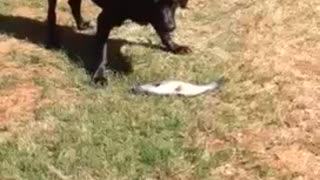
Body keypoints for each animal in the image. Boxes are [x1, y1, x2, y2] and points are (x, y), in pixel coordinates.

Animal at [45, 0, 190, 84]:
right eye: (155, 2)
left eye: (174, 3)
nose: (171, 27)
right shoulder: (104, 19)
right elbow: (101, 53)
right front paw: (99, 75)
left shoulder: (156, 17)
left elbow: (163, 33)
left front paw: (174, 47)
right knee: (51, 13)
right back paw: (52, 40)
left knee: (73, 3)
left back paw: (81, 24)